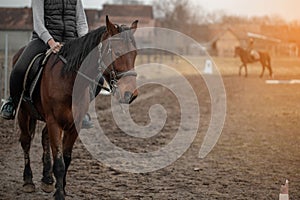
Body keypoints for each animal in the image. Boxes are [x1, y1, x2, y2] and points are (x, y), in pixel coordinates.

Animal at [14, 16, 138, 199]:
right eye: (116, 53)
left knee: (44, 138)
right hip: (24, 113)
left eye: (135, 55)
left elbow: (66, 159)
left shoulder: (74, 125)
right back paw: (28, 181)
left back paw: (47, 180)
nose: (131, 94)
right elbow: (59, 162)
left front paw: (61, 188)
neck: (68, 80)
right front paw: (59, 194)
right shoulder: (54, 123)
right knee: (26, 141)